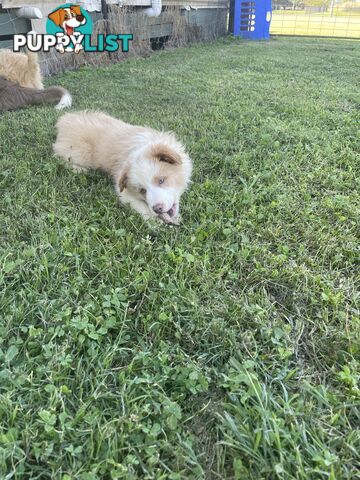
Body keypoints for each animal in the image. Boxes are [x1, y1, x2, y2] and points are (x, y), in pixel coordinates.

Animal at [52, 111, 191, 226]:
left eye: (161, 180)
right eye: (142, 190)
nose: (158, 209)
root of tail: (64, 119)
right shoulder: (123, 193)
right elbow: (140, 206)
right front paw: (155, 222)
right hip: (81, 153)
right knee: (57, 156)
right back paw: (80, 170)